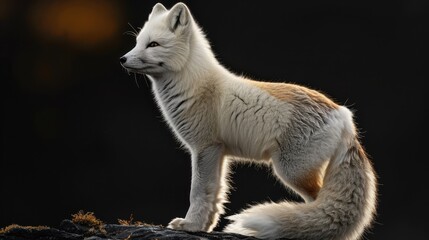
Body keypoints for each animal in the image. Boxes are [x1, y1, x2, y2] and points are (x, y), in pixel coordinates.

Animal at [119, 2, 374, 240]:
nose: (122, 59)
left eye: (153, 45)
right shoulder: (219, 153)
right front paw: (205, 227)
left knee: (317, 207)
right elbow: (215, 196)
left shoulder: (204, 148)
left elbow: (198, 192)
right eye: (138, 42)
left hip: (292, 171)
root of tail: (344, 115)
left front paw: (190, 225)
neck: (195, 85)